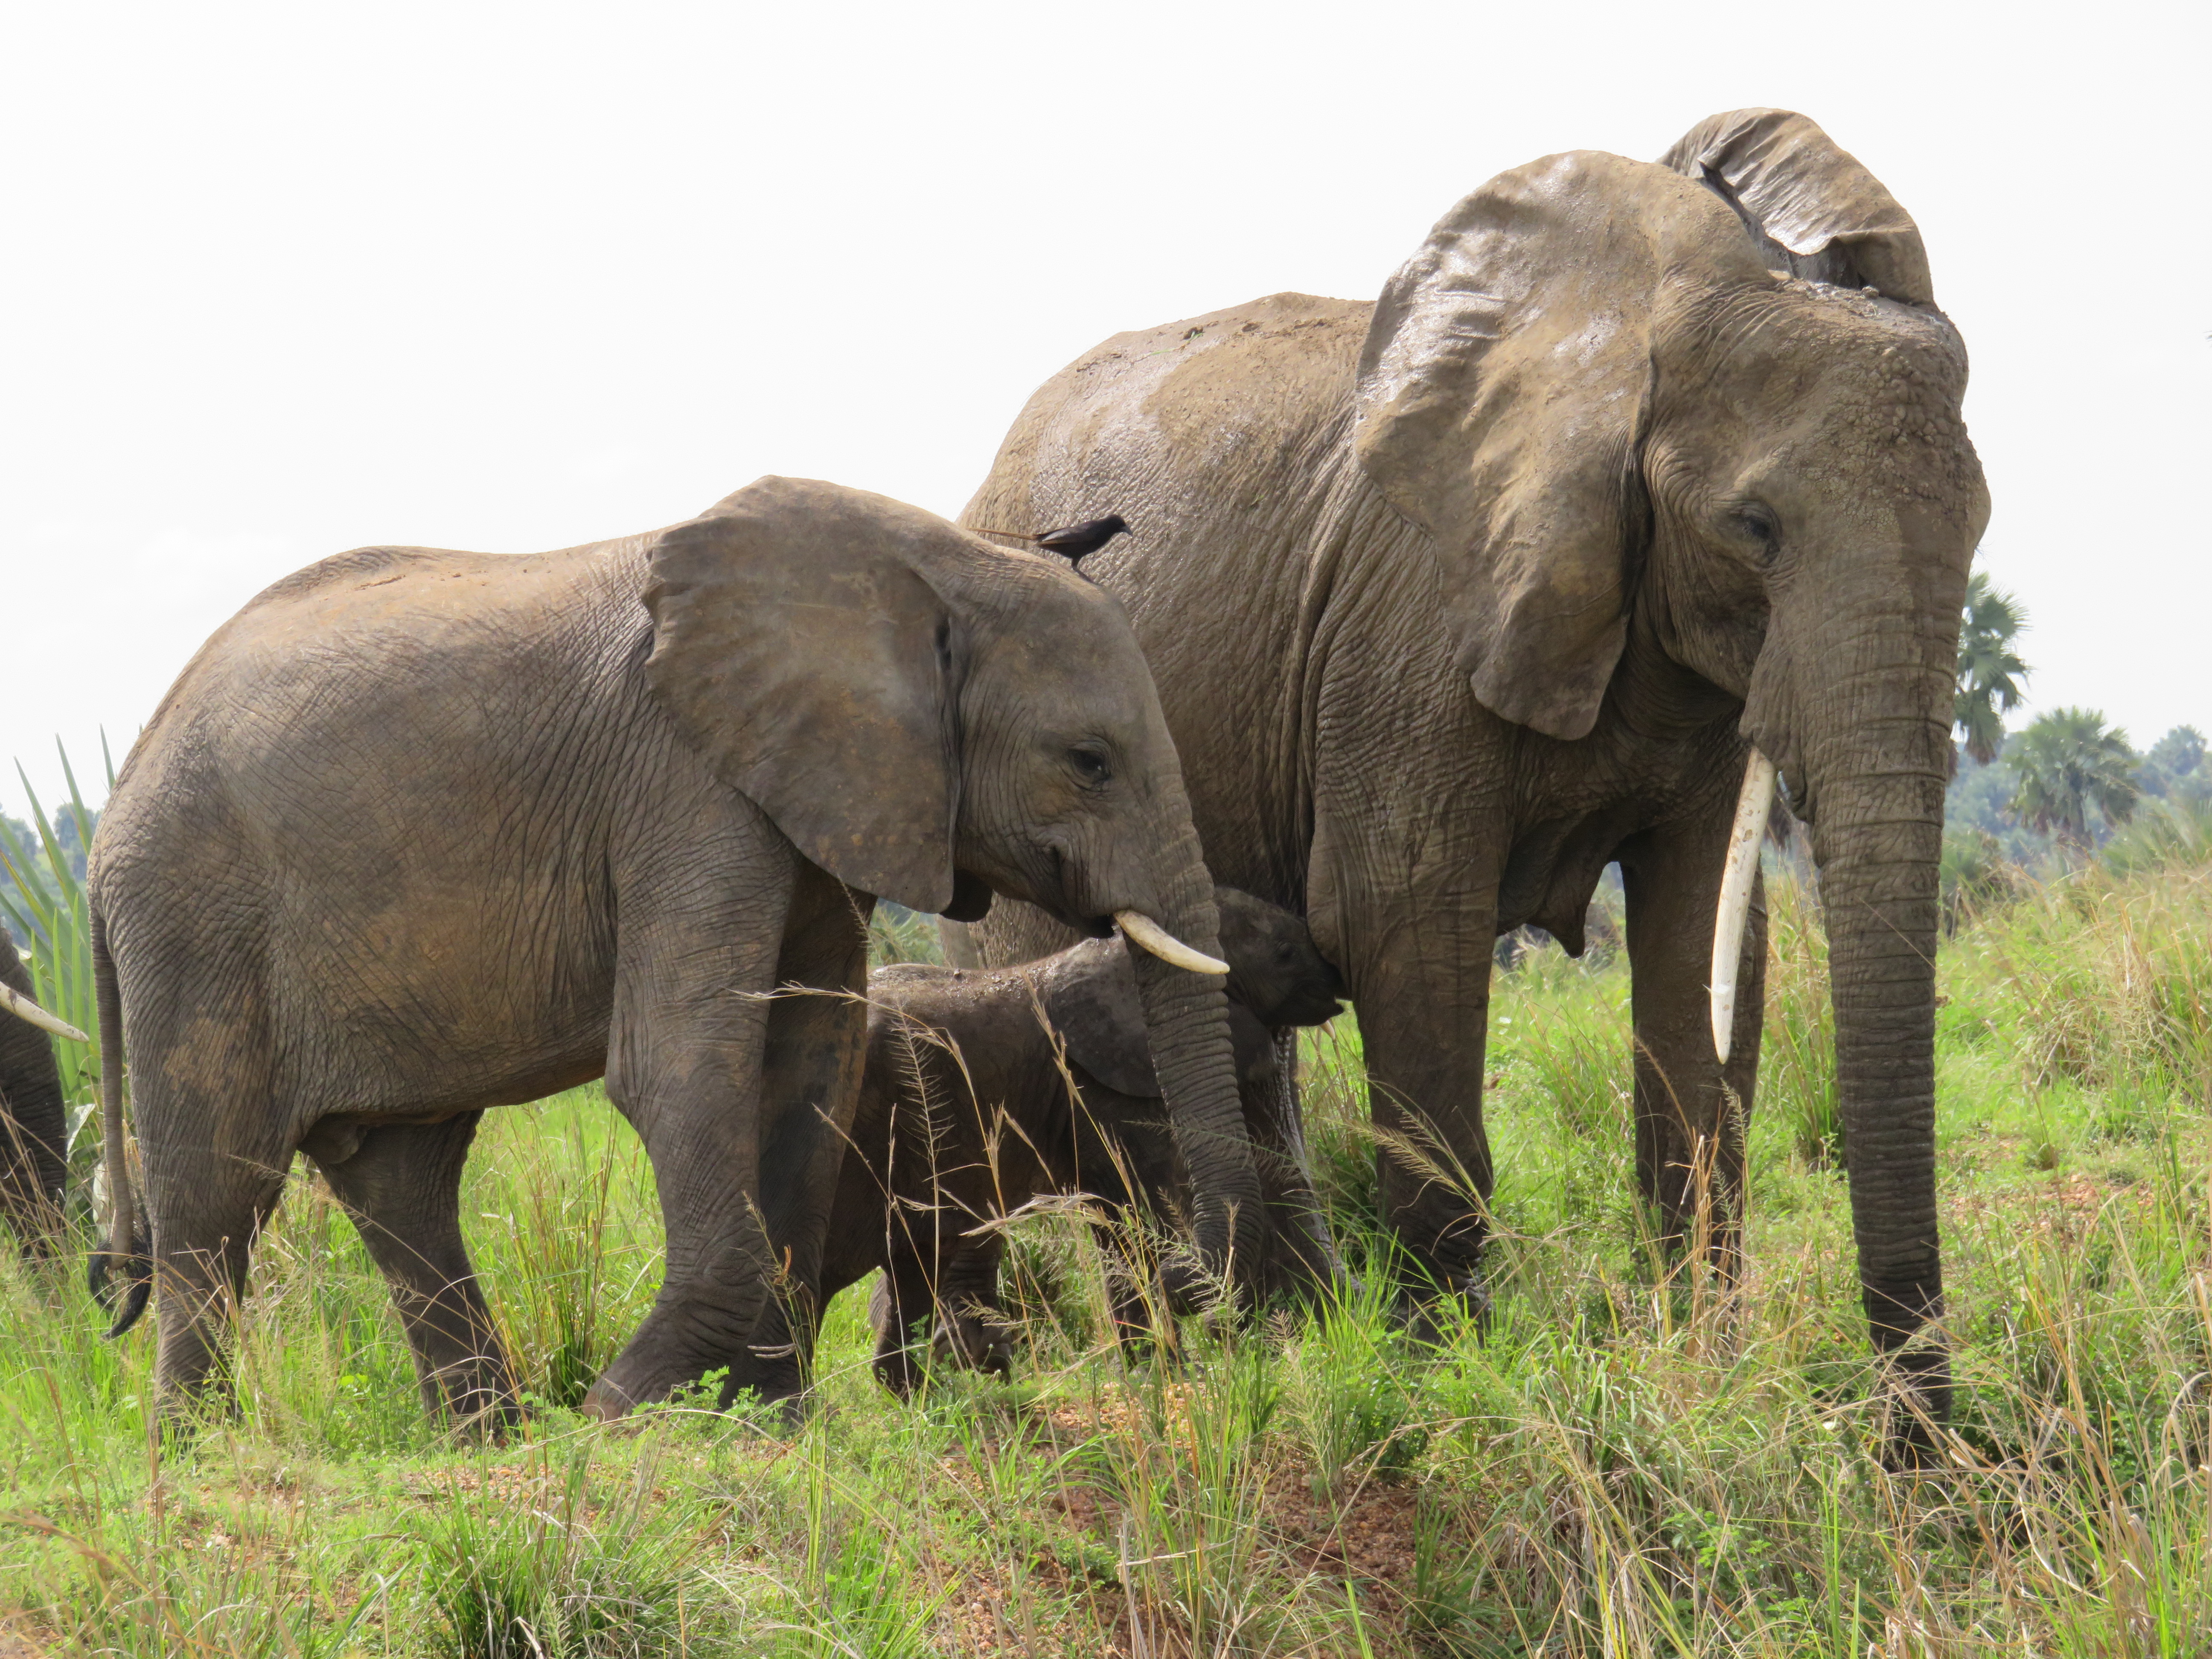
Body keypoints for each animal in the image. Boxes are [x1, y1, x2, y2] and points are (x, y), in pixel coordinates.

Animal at [86, 475, 1266, 1425]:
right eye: (1089, 761)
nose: (1214, 1332)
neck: (927, 564)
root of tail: (111, 813)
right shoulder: (684, 784)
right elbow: (678, 1066)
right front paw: (636, 1409)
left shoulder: (813, 798)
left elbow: (811, 1061)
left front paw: (766, 1415)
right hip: (195, 920)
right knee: (217, 1199)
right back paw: (200, 1460)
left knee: (403, 1178)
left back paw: (488, 1439)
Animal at [741, 886, 1345, 1399]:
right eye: (1286, 953)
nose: (1334, 978)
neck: (1119, 955)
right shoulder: (1104, 1087)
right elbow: (1137, 1211)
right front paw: (1176, 1370)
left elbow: (1117, 1221)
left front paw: (1154, 1369)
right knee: (828, 1267)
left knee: (916, 1260)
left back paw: (935, 1393)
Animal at [952, 109, 1988, 1441]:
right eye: (1752, 529)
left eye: (1977, 526)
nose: (1914, 1444)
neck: (1632, 323)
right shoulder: (1410, 626)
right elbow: (1401, 919)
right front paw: (1448, 1383)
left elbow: (1701, 966)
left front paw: (1701, 1381)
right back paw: (1173, 1369)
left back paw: (1275, 1336)